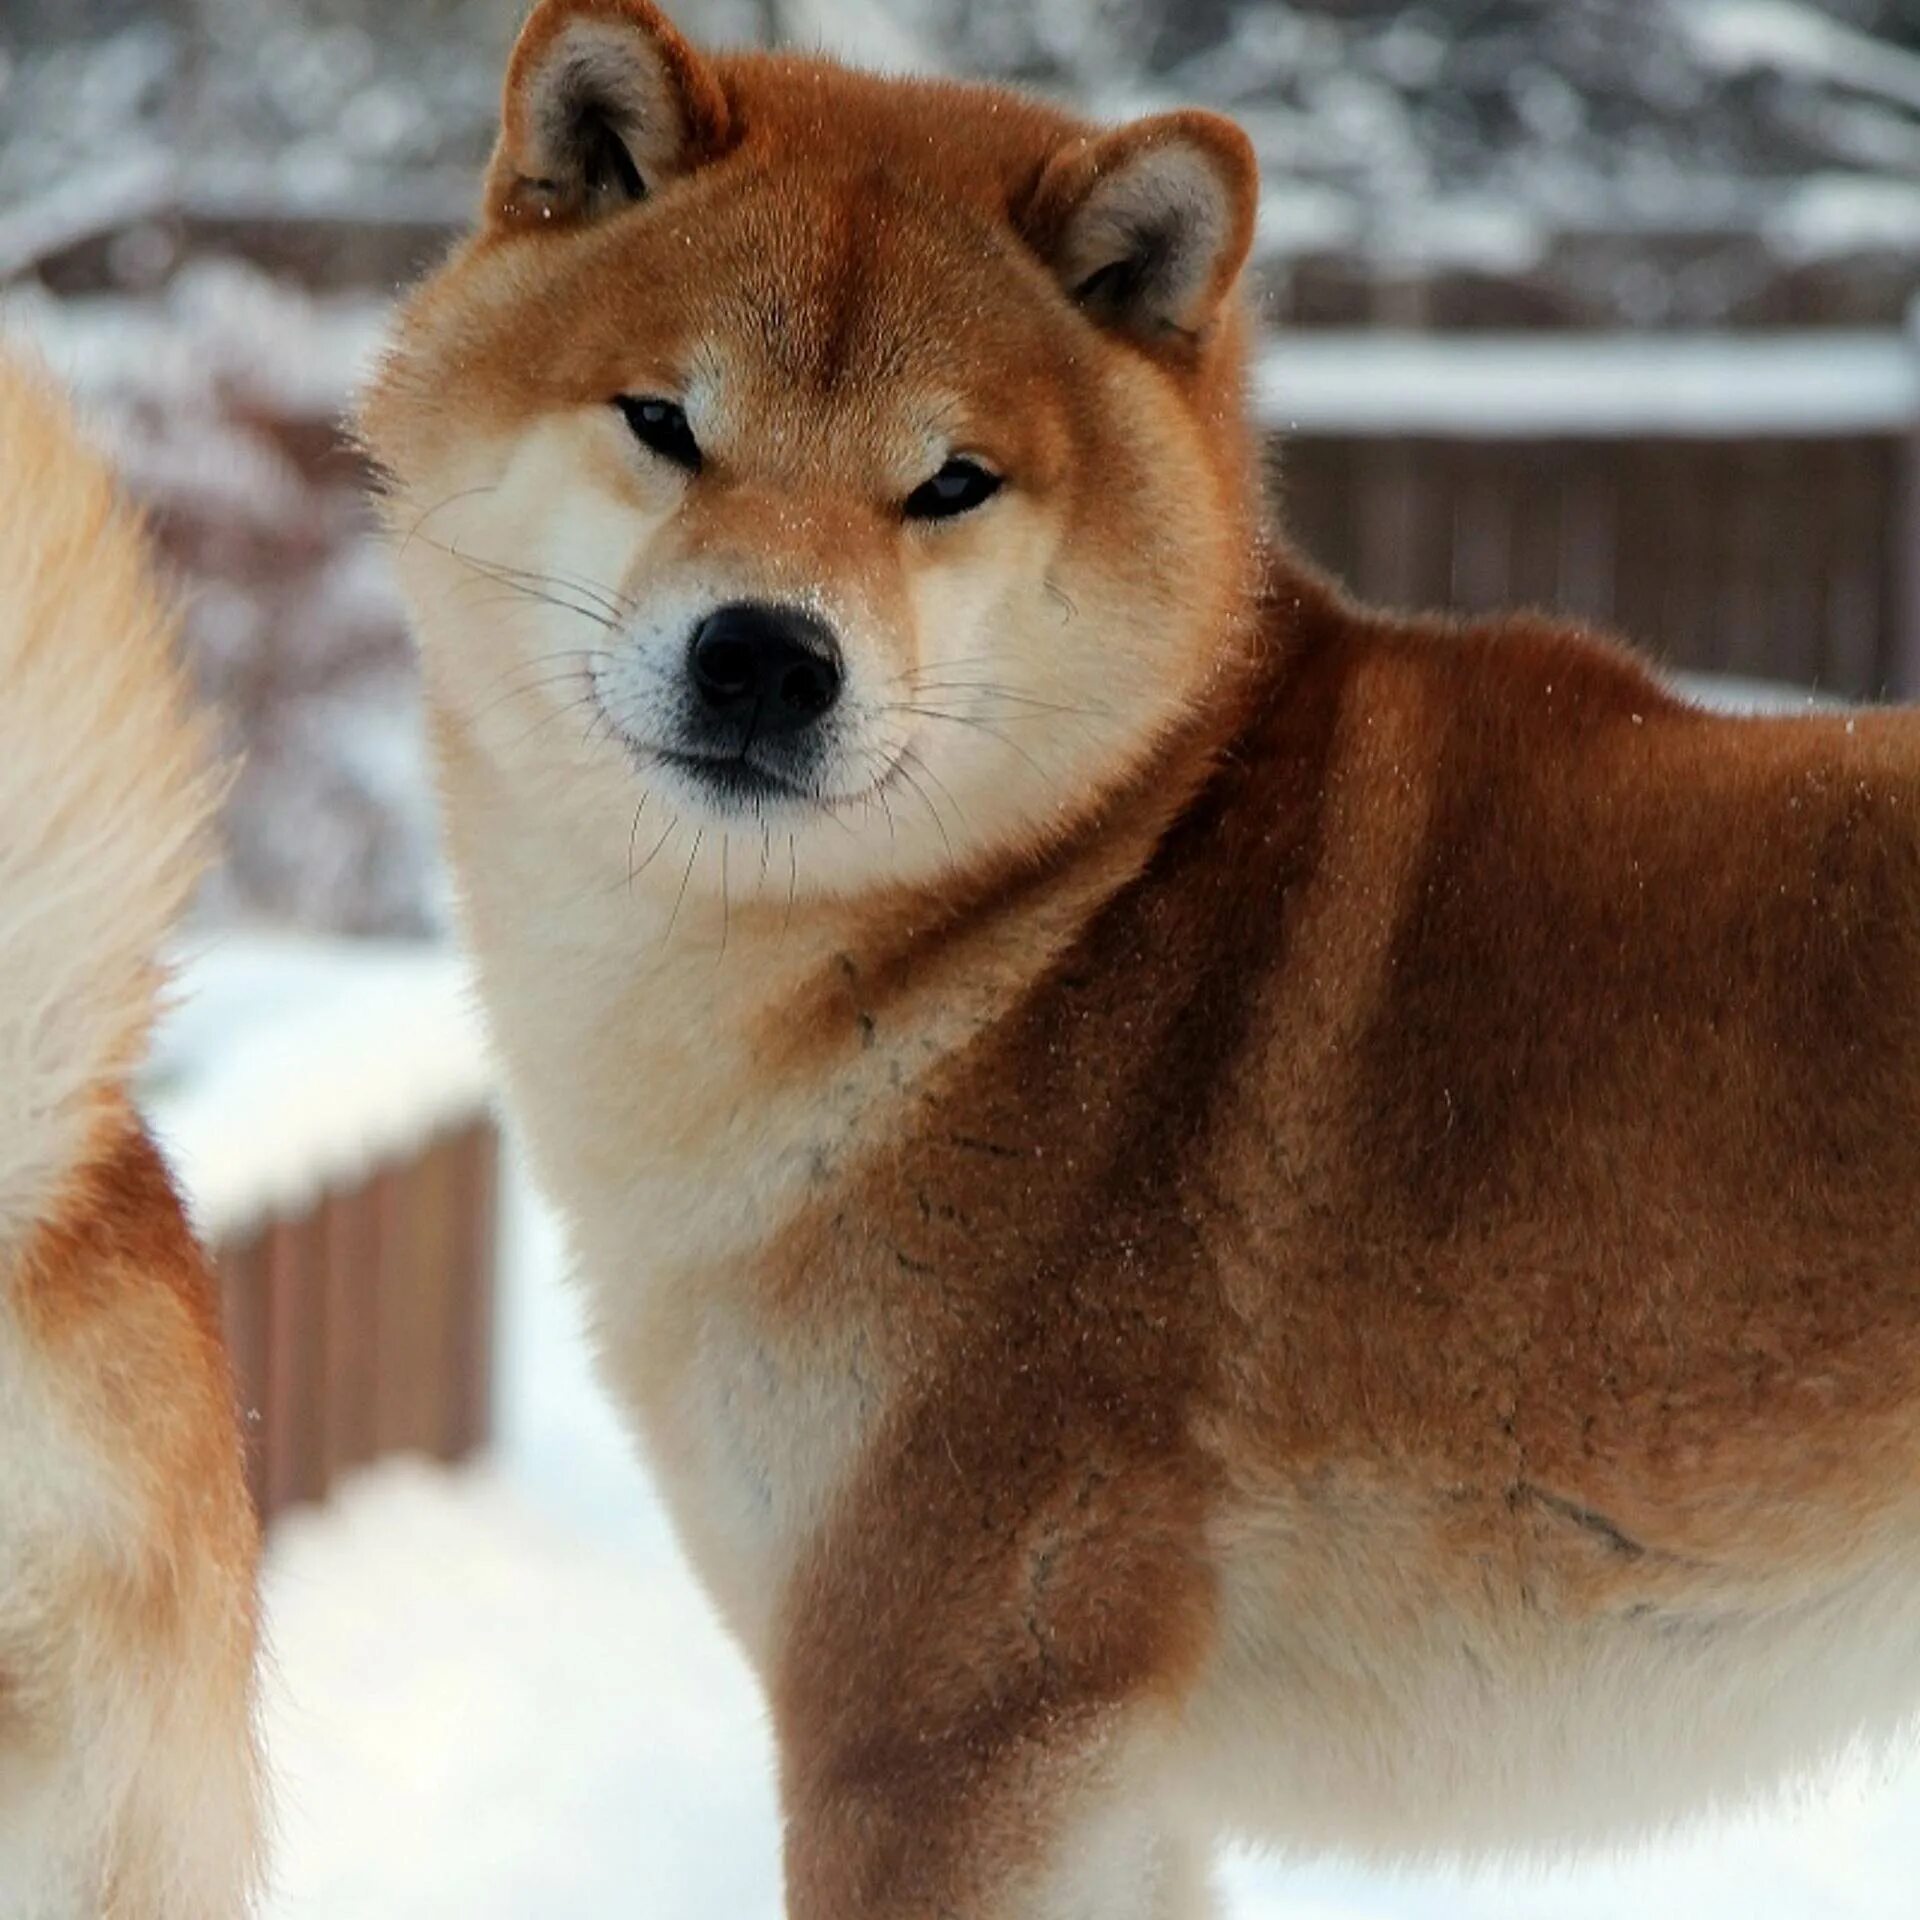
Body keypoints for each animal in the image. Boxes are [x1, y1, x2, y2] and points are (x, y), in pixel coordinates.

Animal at [366, 7, 1920, 1912]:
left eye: (950, 484)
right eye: (664, 423)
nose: (765, 659)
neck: (1059, 919)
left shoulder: (938, 1713)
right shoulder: (1107, 1793)